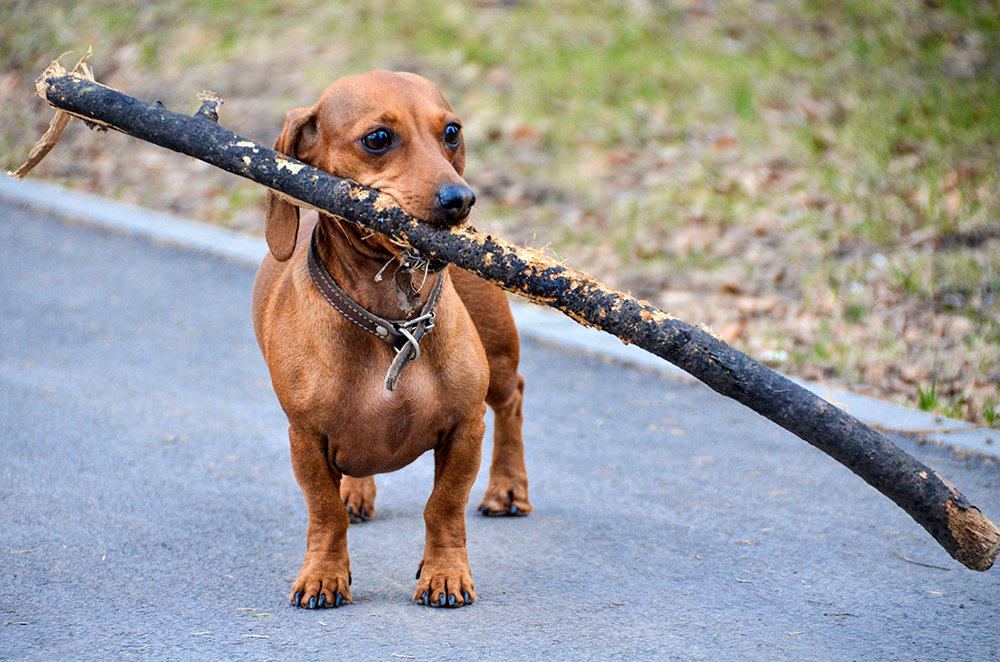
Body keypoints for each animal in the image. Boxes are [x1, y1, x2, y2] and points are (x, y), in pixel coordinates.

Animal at [252, 70, 532, 608]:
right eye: (378, 138)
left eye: (452, 132)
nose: (460, 201)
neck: (391, 324)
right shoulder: (305, 439)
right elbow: (325, 512)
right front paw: (323, 574)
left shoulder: (466, 430)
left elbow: (444, 507)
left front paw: (444, 574)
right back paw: (356, 492)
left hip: (500, 365)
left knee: (513, 402)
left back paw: (508, 488)